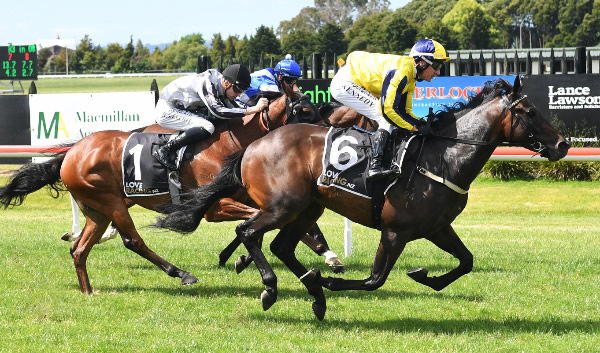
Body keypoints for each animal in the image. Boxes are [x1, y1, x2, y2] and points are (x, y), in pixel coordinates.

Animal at [0, 91, 336, 294]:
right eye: (305, 110)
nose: (327, 138)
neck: (229, 141)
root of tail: (71, 154)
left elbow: (273, 220)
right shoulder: (214, 206)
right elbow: (256, 220)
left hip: (97, 209)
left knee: (80, 249)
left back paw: (88, 290)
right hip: (112, 203)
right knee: (132, 241)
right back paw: (181, 273)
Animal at [154, 77, 568, 320]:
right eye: (530, 111)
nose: (563, 145)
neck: (442, 157)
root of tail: (254, 145)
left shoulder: (437, 227)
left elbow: (465, 262)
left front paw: (425, 276)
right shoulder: (396, 230)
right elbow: (374, 280)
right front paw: (334, 283)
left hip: (308, 207)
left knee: (281, 245)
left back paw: (314, 292)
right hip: (284, 205)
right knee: (249, 232)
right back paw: (272, 287)